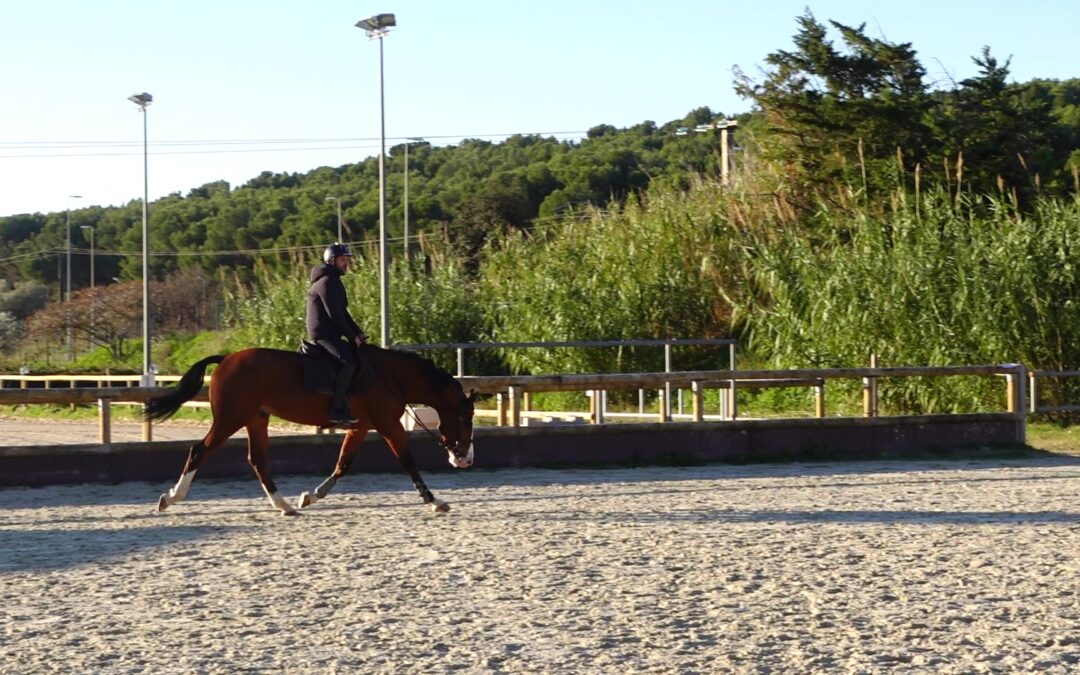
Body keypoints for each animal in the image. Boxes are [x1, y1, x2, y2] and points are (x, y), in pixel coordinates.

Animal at [144, 346, 476, 516]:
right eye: (465, 418)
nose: (466, 460)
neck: (390, 375)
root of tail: (226, 358)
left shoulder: (361, 427)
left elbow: (343, 465)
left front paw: (312, 496)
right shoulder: (388, 424)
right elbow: (409, 462)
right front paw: (434, 501)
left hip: (256, 419)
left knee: (258, 461)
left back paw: (285, 505)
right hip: (231, 419)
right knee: (199, 451)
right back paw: (171, 497)